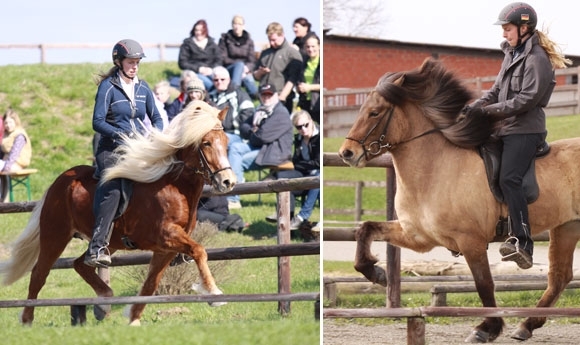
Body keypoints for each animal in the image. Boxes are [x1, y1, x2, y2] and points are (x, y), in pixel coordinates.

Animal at [0, 99, 236, 326]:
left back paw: (105, 300)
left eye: (226, 142)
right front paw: (214, 293)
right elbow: (199, 251)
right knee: (39, 274)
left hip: (108, 242)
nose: (228, 182)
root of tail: (60, 180)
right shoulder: (165, 235)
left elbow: (151, 284)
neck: (175, 186)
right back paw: (27, 319)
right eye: (206, 143)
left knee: (81, 264)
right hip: (55, 235)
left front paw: (134, 318)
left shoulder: (165, 248)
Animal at [338, 58, 580, 342]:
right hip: (567, 227)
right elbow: (365, 229)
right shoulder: (417, 236)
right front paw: (376, 273)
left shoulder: (471, 241)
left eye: (375, 113)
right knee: (560, 277)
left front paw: (487, 328)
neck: (434, 169)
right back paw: (526, 326)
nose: (346, 153)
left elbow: (484, 283)